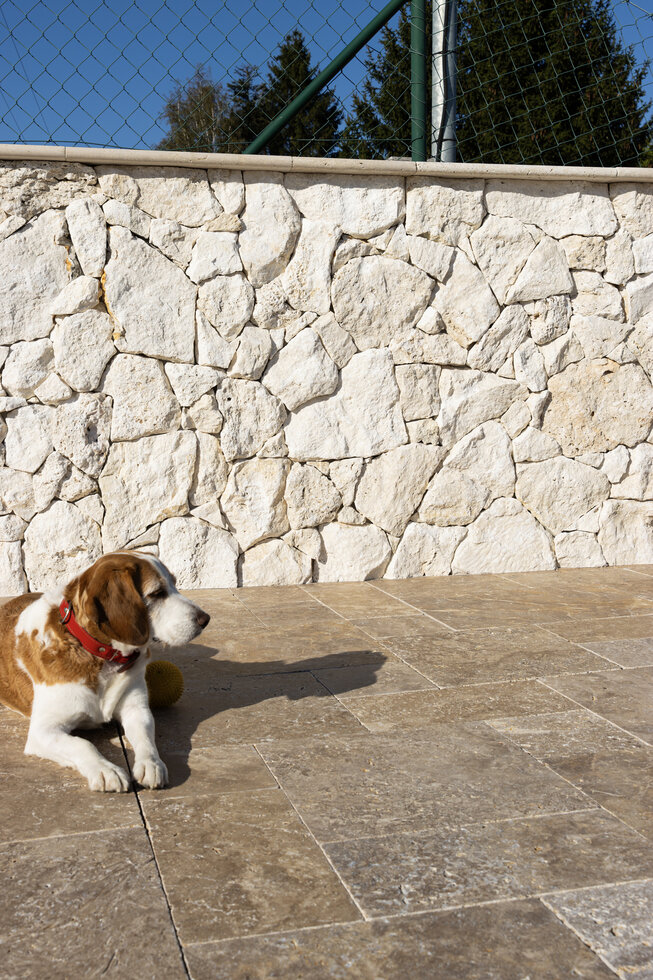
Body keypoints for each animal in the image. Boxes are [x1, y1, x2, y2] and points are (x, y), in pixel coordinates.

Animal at [0, 551, 209, 792]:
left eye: (175, 584)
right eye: (157, 593)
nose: (206, 619)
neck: (102, 656)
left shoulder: (136, 709)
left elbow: (146, 737)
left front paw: (151, 764)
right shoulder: (43, 731)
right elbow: (82, 744)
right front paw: (106, 769)